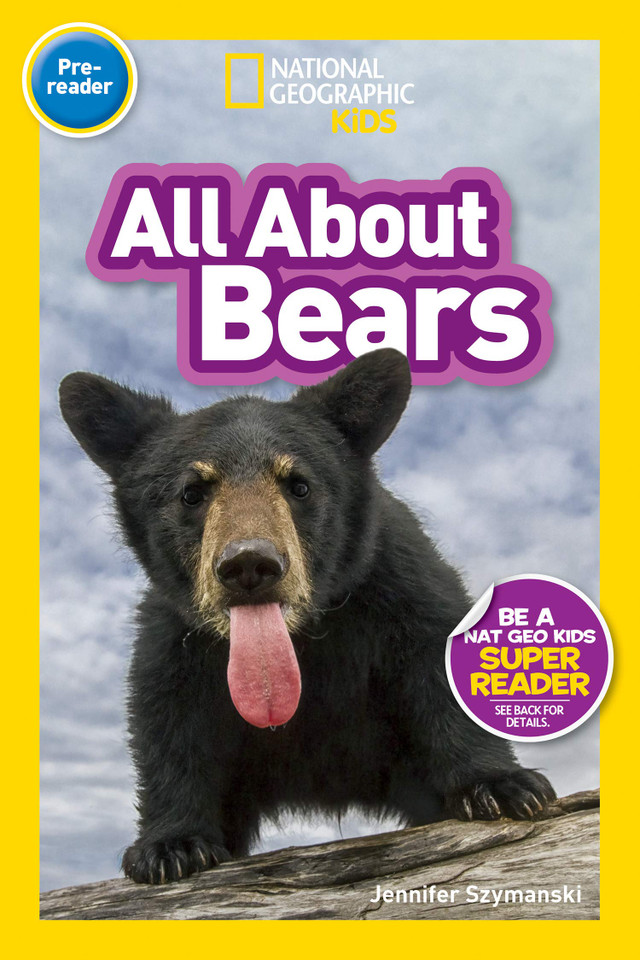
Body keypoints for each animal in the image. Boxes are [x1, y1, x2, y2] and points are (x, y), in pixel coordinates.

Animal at [58, 348, 555, 885]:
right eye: (192, 492)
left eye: (299, 486)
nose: (249, 564)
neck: (303, 639)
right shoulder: (175, 633)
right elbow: (167, 715)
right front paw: (170, 846)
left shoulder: (398, 580)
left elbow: (437, 659)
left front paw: (503, 787)